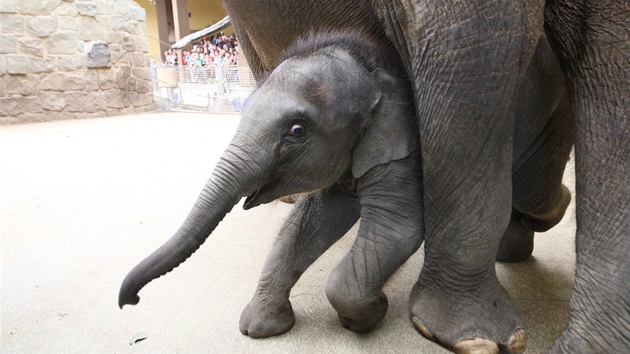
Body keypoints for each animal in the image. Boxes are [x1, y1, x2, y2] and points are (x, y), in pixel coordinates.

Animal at [119, 32, 424, 338]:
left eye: (297, 130)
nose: (130, 301)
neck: (376, 71)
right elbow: (311, 220)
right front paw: (259, 327)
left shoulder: (401, 155)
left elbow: (397, 229)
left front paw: (370, 314)